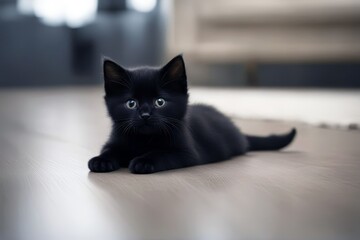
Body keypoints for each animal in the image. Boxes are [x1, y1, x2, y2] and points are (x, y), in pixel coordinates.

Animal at [88, 55, 296, 173]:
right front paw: (101, 160)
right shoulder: (114, 139)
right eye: (131, 104)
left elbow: (162, 154)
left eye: (160, 102)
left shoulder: (187, 153)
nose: (145, 114)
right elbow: (110, 149)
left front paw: (143, 161)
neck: (143, 140)